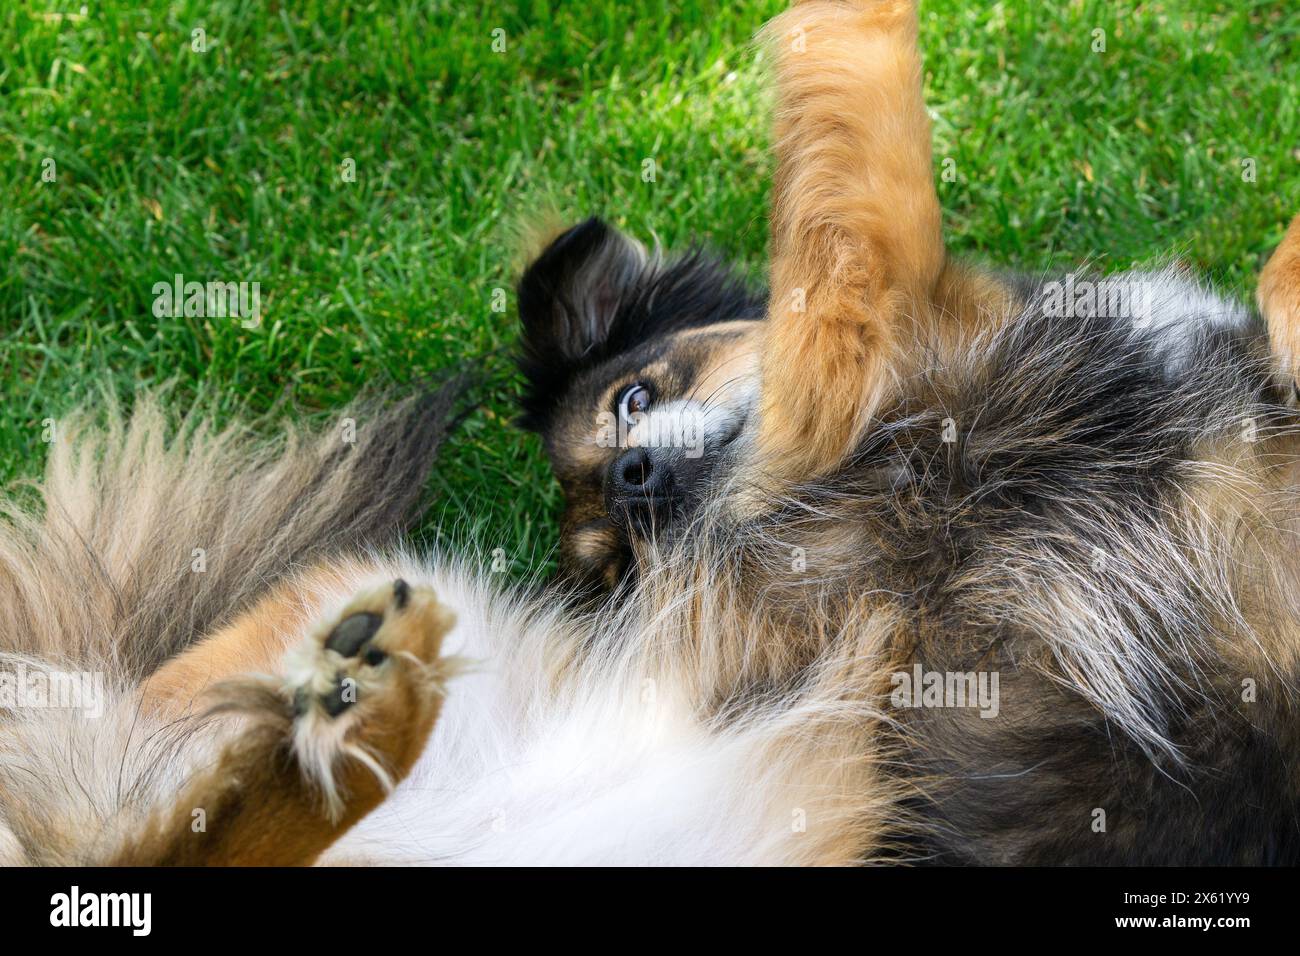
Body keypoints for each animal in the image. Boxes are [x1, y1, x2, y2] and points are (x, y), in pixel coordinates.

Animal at [2, 0, 1300, 868]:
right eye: (615, 557)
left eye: (629, 400)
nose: (633, 474)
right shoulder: (861, 346)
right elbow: (866, 159)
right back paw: (343, 695)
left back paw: (348, 693)